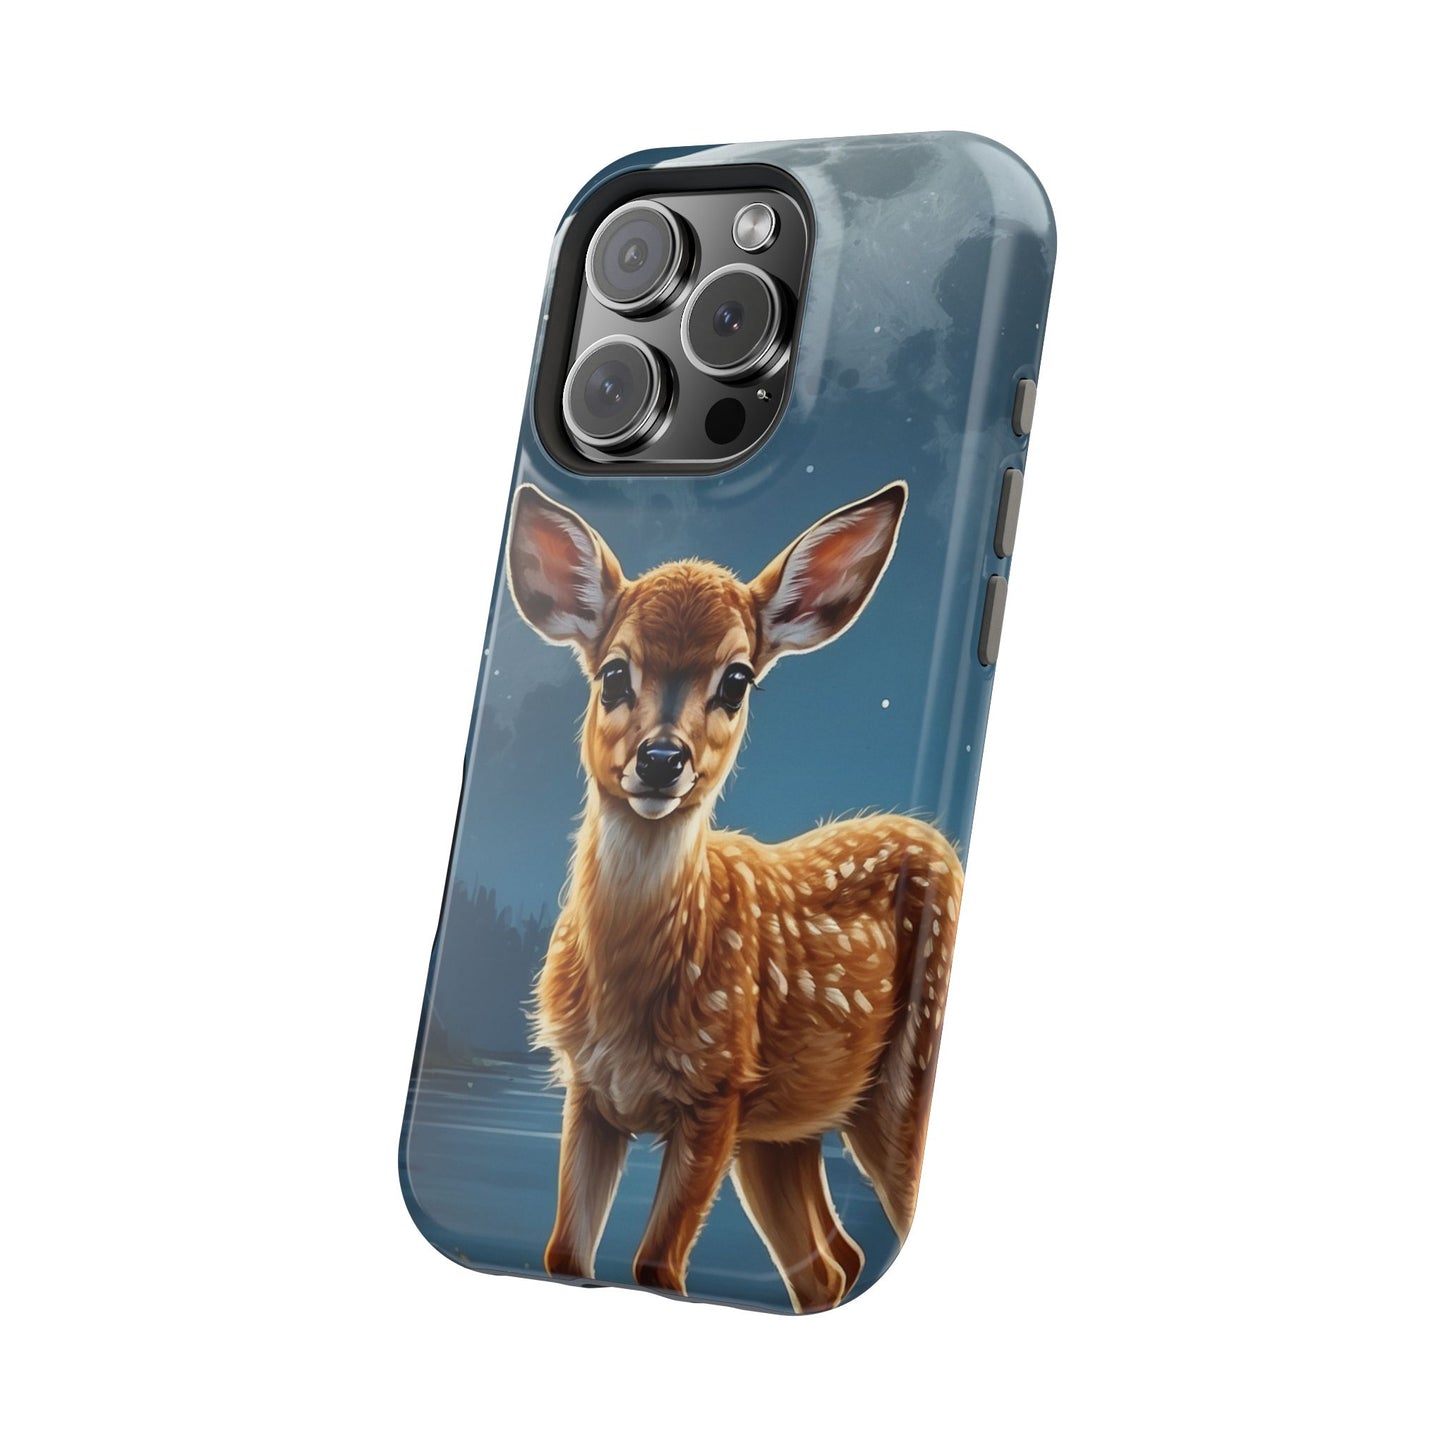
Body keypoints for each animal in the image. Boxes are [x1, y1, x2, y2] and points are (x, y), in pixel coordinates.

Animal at [505, 479, 963, 1312]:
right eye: (612, 672)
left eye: (736, 679)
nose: (662, 758)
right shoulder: (588, 1089)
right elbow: (563, 1252)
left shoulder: (717, 1089)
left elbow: (656, 1266)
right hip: (784, 1131)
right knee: (831, 1264)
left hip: (901, 1082)